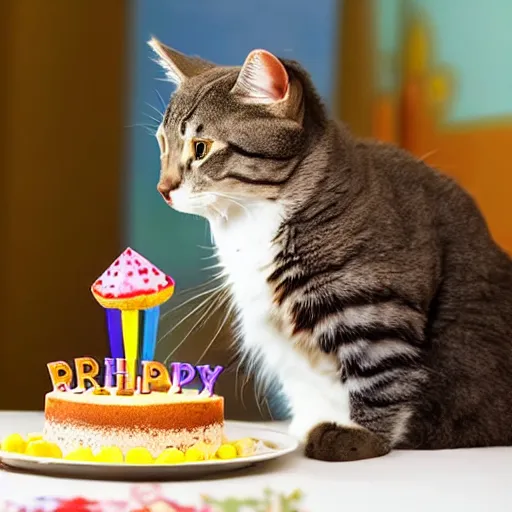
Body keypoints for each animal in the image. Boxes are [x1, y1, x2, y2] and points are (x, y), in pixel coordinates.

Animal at [147, 36, 512, 460]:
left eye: (201, 148)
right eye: (162, 144)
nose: (162, 188)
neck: (250, 224)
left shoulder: (376, 307)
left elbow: (379, 378)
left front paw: (357, 435)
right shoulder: (279, 335)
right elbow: (304, 383)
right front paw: (305, 427)